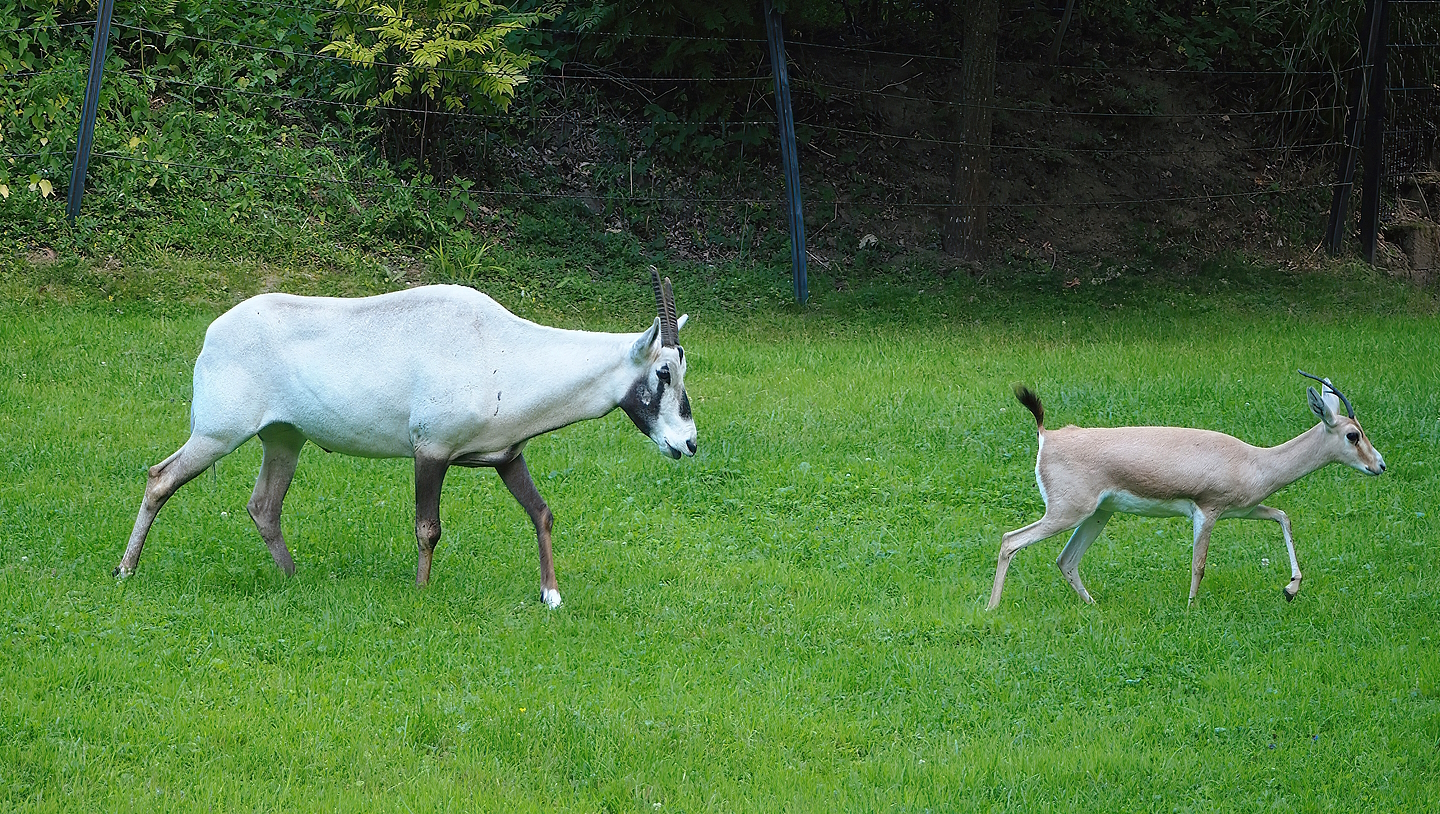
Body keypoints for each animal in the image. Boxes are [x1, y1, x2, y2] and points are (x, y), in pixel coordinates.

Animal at [116, 269, 696, 608]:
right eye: (664, 372)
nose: (688, 444)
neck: (504, 348)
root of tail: (214, 333)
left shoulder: (506, 457)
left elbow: (541, 512)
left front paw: (550, 595)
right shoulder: (430, 451)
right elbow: (428, 528)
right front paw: (420, 593)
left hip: (283, 439)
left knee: (263, 506)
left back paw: (294, 579)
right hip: (217, 434)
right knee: (159, 478)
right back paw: (126, 570)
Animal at [987, 372, 1385, 610]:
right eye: (1353, 435)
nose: (1379, 465)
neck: (1254, 461)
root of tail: (1047, 436)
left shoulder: (1244, 510)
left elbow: (1283, 517)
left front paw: (1290, 589)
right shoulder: (1207, 512)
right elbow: (1199, 563)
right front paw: (1191, 607)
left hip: (1099, 515)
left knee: (1065, 560)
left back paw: (1094, 606)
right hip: (1067, 513)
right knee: (1010, 540)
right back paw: (992, 608)